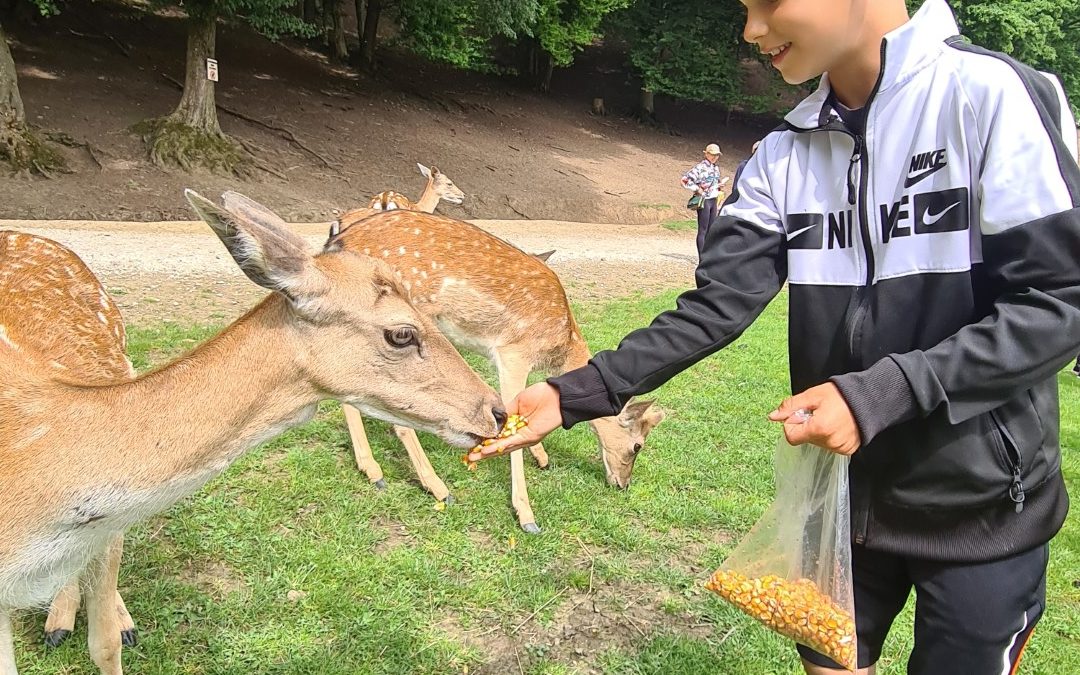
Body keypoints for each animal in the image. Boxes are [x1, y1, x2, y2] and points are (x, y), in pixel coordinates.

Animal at [326, 208, 665, 533]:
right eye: (638, 445)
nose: (623, 484)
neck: (561, 343)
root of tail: (337, 242)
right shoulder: (514, 351)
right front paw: (526, 515)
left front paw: (542, 457)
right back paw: (436, 487)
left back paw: (372, 469)